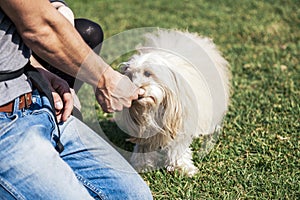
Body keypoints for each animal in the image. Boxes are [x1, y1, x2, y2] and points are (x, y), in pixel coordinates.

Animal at [115, 28, 230, 176]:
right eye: (129, 77)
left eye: (147, 73)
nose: (135, 91)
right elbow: (143, 146)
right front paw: (141, 165)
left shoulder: (180, 123)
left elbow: (178, 147)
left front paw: (182, 168)